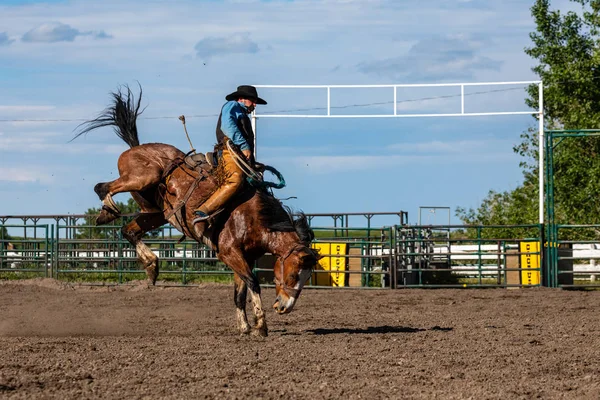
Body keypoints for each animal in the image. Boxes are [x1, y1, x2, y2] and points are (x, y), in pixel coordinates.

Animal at [73, 86, 318, 336]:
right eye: (293, 273)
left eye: (307, 277)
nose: (284, 307)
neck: (255, 218)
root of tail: (136, 147)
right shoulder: (229, 253)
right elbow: (252, 283)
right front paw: (261, 325)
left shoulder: (243, 257)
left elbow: (239, 293)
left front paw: (244, 327)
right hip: (143, 178)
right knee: (102, 187)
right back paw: (109, 209)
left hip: (155, 211)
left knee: (129, 230)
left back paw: (151, 265)